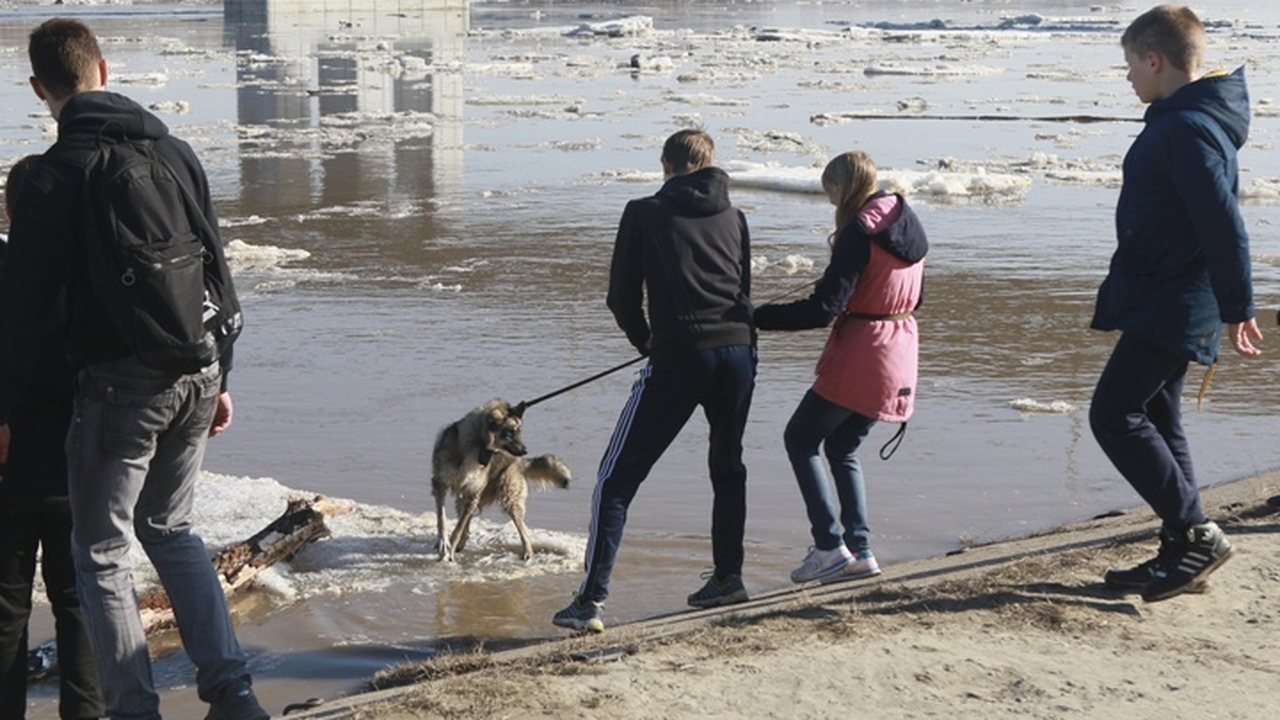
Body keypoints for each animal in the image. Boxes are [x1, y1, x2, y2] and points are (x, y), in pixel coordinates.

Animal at [430, 397, 570, 561]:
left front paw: (449, 551)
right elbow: (442, 518)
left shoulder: (473, 492)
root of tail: (519, 462)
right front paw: (443, 542)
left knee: (522, 528)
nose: (525, 450)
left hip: (509, 497)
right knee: (466, 518)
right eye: (509, 432)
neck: (479, 444)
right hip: (466, 498)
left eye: (519, 431)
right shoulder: (440, 483)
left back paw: (528, 552)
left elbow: (458, 528)